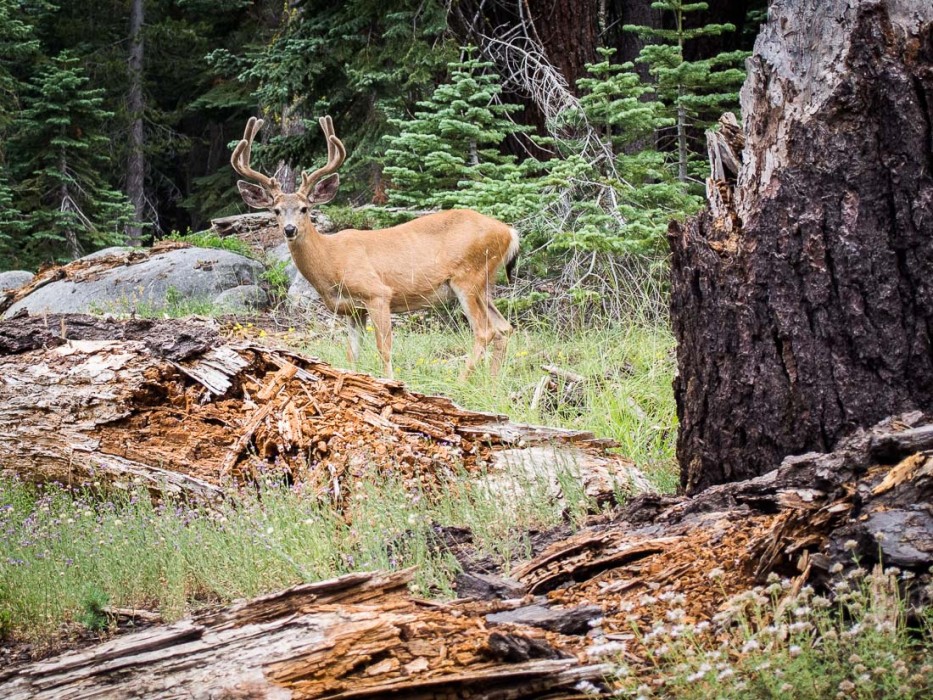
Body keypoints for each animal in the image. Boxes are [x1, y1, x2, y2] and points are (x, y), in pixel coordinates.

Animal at [229, 115, 512, 380]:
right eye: (276, 210)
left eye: (304, 208)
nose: (289, 229)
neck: (331, 260)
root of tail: (508, 231)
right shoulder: (353, 310)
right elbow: (351, 354)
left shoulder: (377, 293)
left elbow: (383, 348)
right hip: (483, 283)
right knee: (504, 328)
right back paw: (492, 382)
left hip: (467, 277)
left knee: (485, 331)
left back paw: (462, 381)